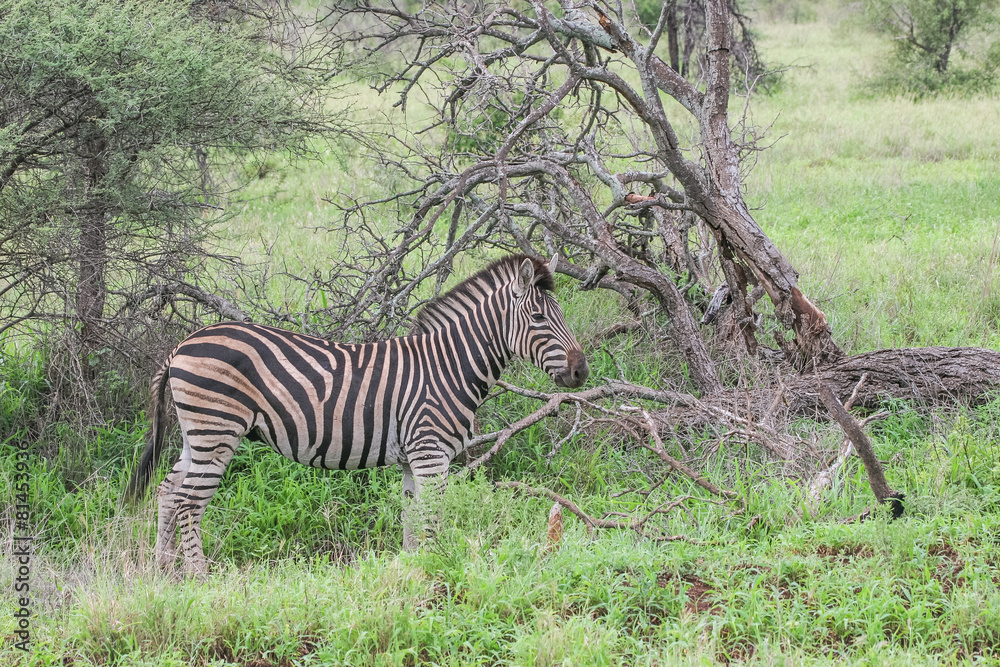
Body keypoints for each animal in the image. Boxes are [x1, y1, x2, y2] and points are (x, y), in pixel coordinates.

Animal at [125, 254, 589, 575]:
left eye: (562, 314)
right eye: (538, 317)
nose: (582, 372)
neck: (448, 366)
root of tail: (182, 344)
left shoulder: (412, 459)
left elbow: (411, 520)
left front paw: (413, 571)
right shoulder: (430, 453)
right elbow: (434, 518)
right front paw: (438, 569)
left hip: (197, 436)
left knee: (168, 492)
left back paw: (163, 572)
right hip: (216, 432)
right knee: (188, 503)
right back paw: (199, 578)